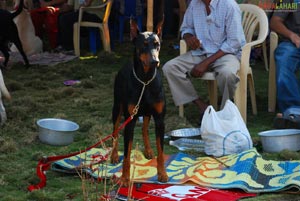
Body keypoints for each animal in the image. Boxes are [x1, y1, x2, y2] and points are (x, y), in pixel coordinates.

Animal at [110, 19, 168, 187]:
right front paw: (124, 178)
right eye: (143, 45)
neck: (145, 81)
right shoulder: (130, 120)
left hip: (146, 112)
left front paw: (162, 174)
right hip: (118, 107)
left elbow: (161, 151)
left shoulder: (160, 119)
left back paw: (148, 150)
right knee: (115, 131)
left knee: (144, 128)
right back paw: (114, 155)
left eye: (157, 44)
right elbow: (127, 155)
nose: (155, 61)